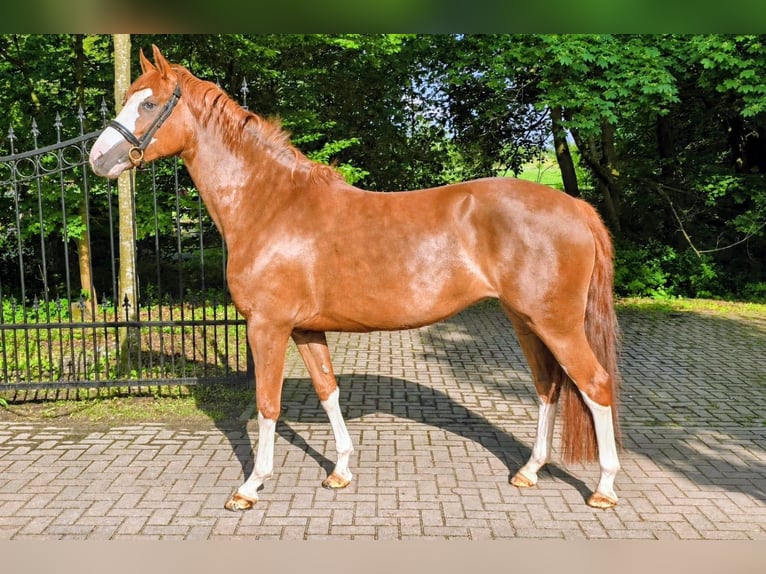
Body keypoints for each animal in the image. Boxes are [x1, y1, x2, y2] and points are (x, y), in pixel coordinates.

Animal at [89, 45, 622, 511]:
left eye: (149, 103)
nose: (96, 159)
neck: (270, 205)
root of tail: (574, 206)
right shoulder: (305, 329)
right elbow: (328, 392)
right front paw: (341, 470)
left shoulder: (267, 327)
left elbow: (268, 403)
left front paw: (251, 486)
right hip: (526, 321)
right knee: (548, 386)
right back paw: (530, 471)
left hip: (556, 324)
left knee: (594, 385)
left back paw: (604, 488)